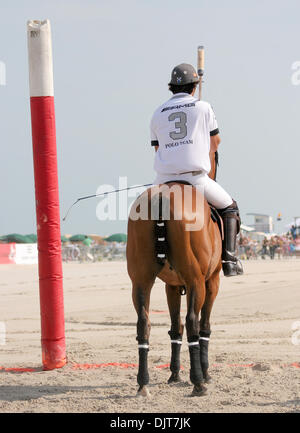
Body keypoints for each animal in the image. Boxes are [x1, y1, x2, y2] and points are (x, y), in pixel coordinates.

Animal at [125, 151, 221, 394]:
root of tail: (162, 196)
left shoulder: (173, 285)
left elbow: (175, 327)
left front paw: (174, 374)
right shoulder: (212, 281)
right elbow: (203, 326)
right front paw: (205, 373)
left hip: (141, 281)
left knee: (144, 321)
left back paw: (143, 383)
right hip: (197, 280)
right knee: (193, 321)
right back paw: (198, 382)